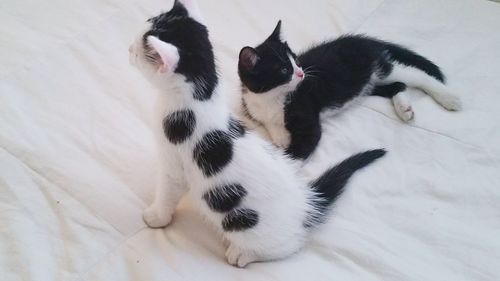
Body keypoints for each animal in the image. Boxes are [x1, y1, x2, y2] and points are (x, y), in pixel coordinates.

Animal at [127, 0, 384, 266]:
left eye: (137, 51)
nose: (128, 49)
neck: (200, 99)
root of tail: (307, 203)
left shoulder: (174, 165)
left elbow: (168, 192)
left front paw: (156, 217)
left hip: (249, 227)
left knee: (288, 246)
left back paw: (243, 254)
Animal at [238, 20, 460, 159]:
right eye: (284, 70)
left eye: (297, 61)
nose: (301, 74)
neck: (272, 97)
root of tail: (364, 40)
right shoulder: (254, 109)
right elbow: (270, 123)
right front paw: (281, 137)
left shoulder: (307, 117)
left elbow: (300, 150)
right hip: (363, 83)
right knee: (395, 85)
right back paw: (404, 108)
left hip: (376, 67)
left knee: (413, 75)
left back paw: (448, 97)